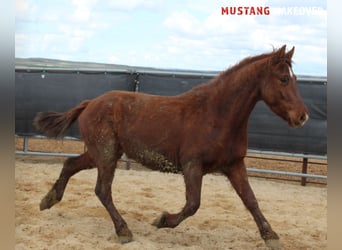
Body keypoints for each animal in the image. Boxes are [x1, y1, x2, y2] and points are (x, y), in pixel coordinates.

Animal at [34, 45, 308, 250]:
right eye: (284, 79)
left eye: (295, 79)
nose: (302, 117)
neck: (216, 115)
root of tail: (90, 103)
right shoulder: (192, 166)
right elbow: (193, 204)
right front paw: (162, 220)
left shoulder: (234, 165)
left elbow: (251, 200)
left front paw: (271, 236)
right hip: (106, 154)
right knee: (102, 190)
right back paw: (123, 231)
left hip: (99, 153)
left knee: (70, 164)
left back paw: (48, 200)